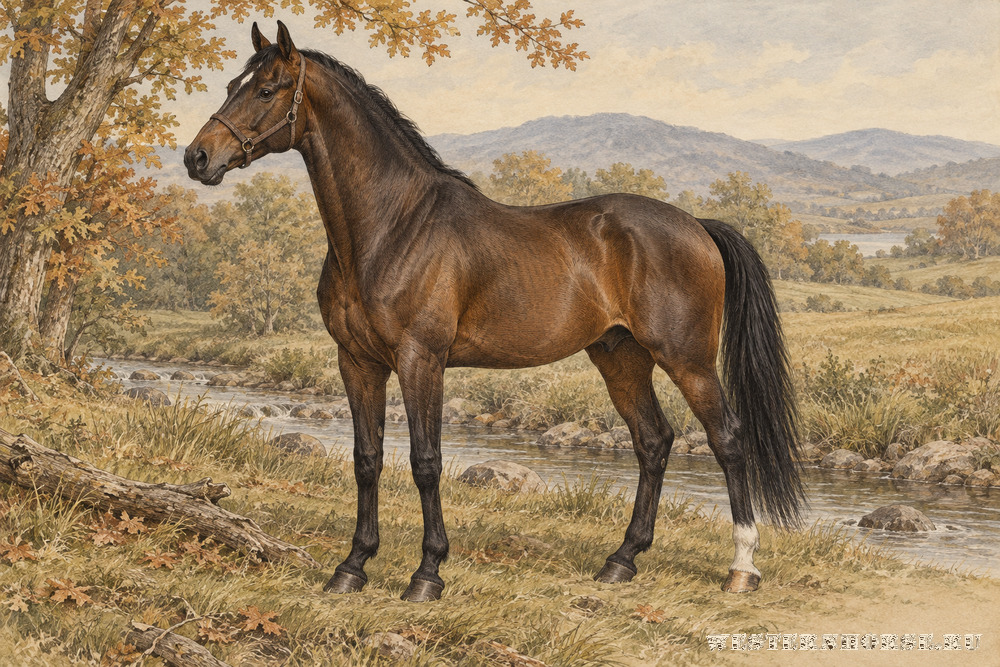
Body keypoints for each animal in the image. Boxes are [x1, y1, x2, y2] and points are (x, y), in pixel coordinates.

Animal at [185, 21, 804, 602]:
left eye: (267, 90)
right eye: (233, 84)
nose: (197, 157)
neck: (392, 227)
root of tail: (697, 225)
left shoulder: (421, 360)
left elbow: (425, 462)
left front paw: (427, 574)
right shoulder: (357, 362)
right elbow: (366, 460)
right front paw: (352, 566)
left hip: (687, 360)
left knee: (728, 440)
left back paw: (741, 568)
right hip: (619, 358)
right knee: (653, 443)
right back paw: (621, 560)